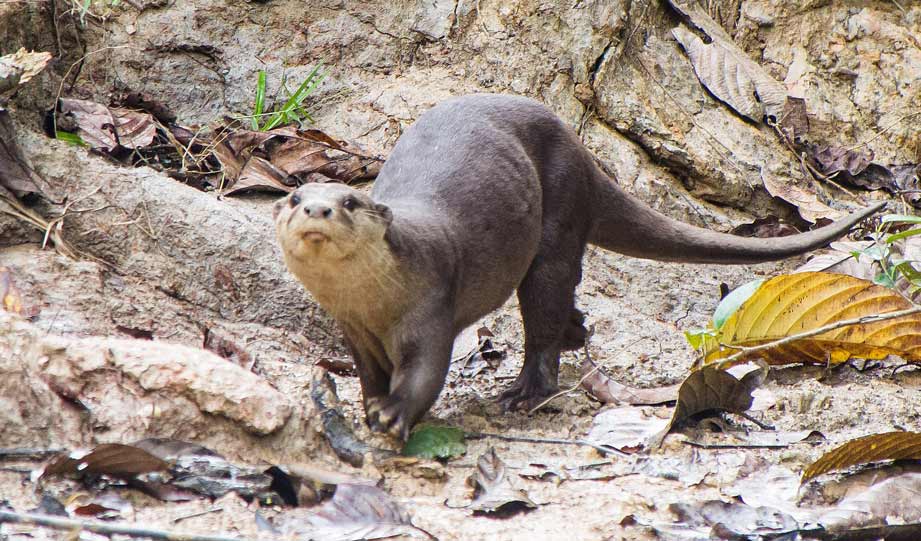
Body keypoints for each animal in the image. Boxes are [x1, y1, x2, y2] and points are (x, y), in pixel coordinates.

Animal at [274, 93, 884, 438]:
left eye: (349, 202)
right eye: (294, 197)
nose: (317, 209)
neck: (378, 305)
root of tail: (586, 154)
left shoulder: (430, 309)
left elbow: (424, 374)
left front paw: (394, 415)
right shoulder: (355, 331)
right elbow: (369, 376)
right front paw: (368, 407)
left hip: (559, 214)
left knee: (544, 307)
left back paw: (524, 393)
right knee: (565, 306)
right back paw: (576, 334)